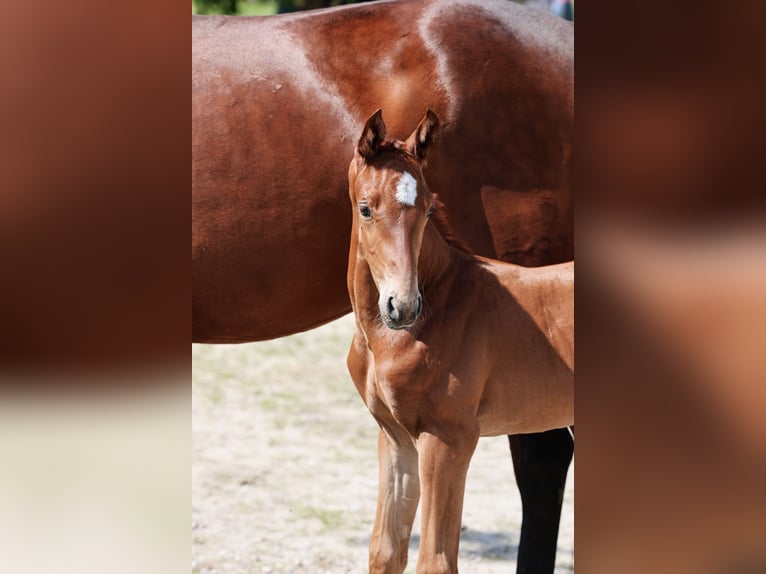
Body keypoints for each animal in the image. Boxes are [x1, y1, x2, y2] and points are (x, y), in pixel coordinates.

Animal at [348, 109, 576, 574]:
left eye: (430, 207)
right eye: (365, 209)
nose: (404, 306)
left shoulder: (448, 438)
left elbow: (435, 561)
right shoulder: (396, 438)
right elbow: (385, 551)